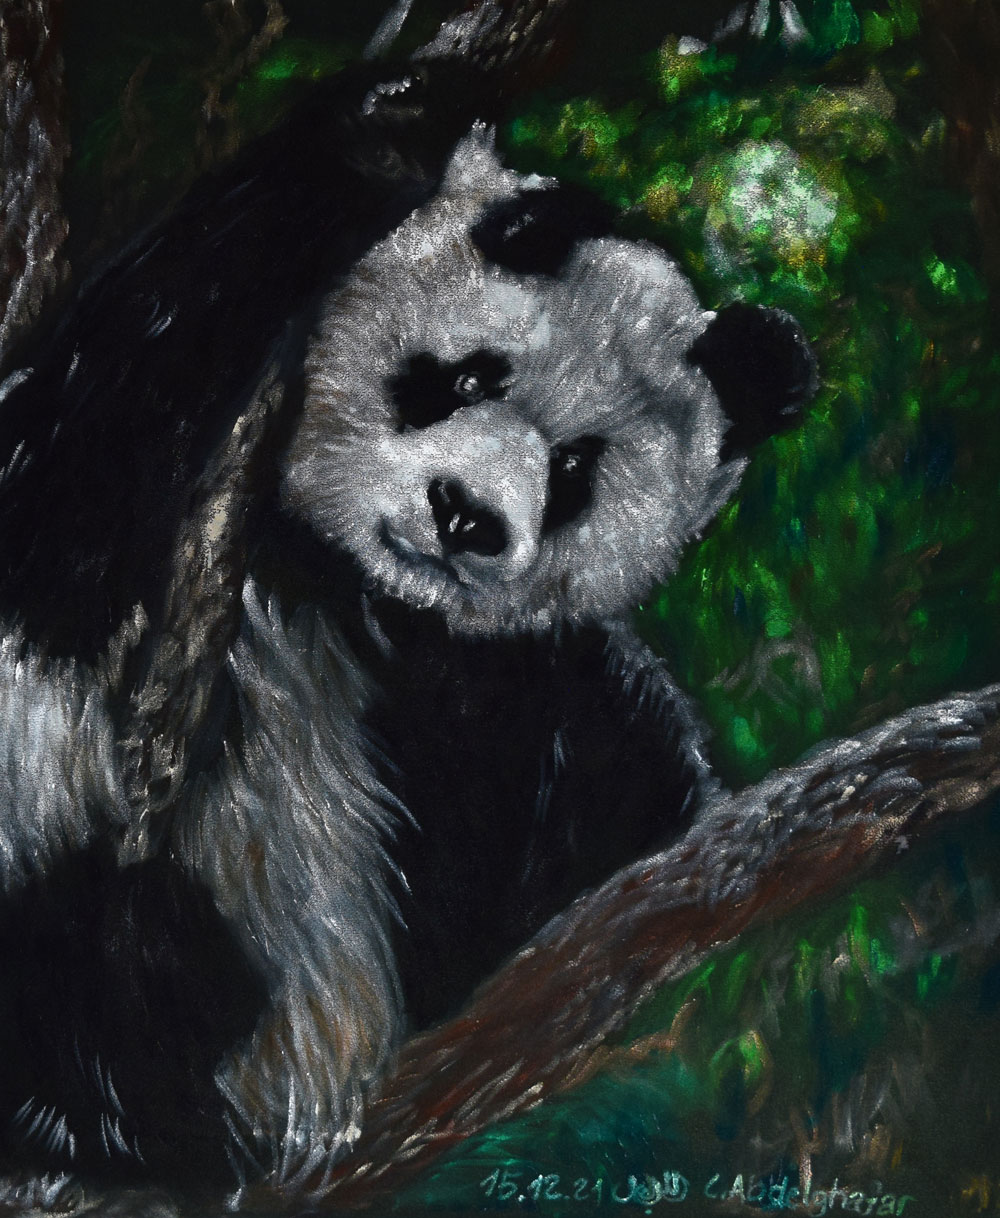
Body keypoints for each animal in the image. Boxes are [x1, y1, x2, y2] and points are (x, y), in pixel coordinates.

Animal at [0, 62, 815, 1200]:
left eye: (576, 468)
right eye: (468, 376)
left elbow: (585, 793)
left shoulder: (491, 685)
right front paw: (391, 122)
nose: (465, 515)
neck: (335, 572)